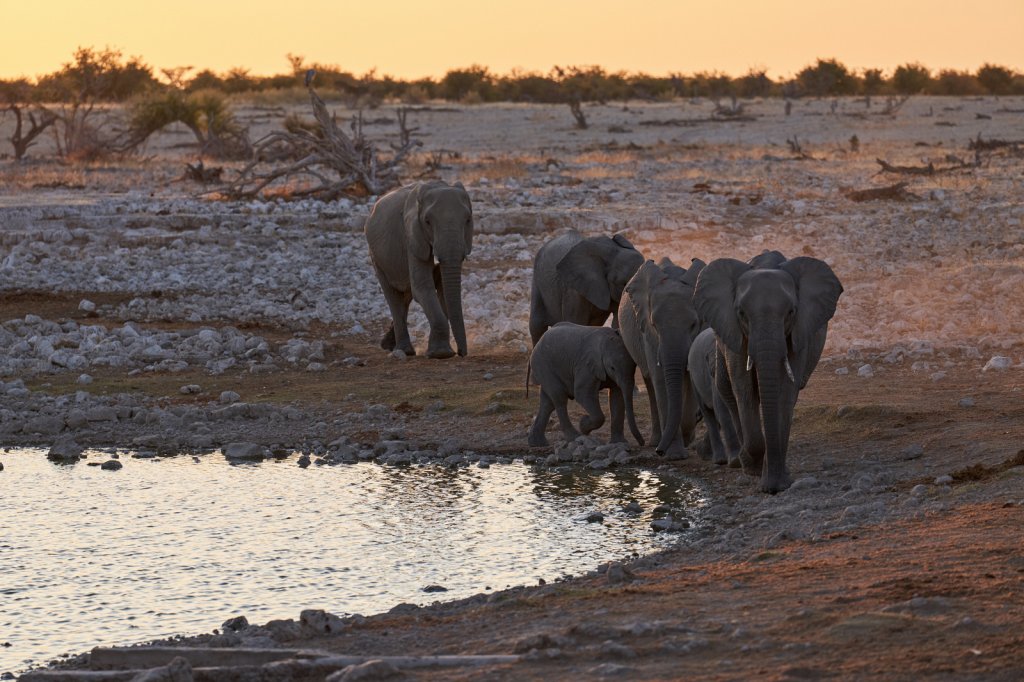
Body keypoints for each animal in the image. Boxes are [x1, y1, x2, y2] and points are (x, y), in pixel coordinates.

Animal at [364, 180, 471, 360]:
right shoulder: (412, 238)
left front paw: (440, 351)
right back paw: (404, 350)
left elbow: (443, 293)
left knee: (405, 298)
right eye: (427, 221)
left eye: (468, 220)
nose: (462, 353)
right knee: (394, 297)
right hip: (376, 257)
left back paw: (388, 345)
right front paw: (441, 354)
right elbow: (422, 288)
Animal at [614, 254, 704, 456]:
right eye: (654, 325)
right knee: (650, 383)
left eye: (694, 324)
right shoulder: (647, 334)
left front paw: (687, 437)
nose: (659, 452)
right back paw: (656, 440)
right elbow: (660, 379)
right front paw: (675, 455)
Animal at [692, 327, 741, 464]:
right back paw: (718, 460)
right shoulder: (713, 374)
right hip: (694, 379)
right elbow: (722, 411)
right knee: (708, 414)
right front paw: (736, 460)